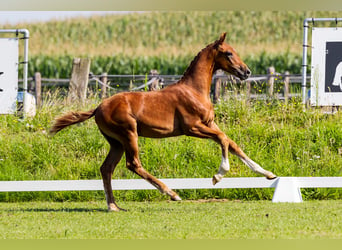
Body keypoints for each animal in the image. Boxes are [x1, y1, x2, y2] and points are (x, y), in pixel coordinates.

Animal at [50, 32, 276, 211]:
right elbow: (222, 139)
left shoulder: (210, 123)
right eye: (228, 53)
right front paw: (218, 176)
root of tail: (98, 107)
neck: (194, 90)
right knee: (133, 164)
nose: (246, 72)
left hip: (116, 142)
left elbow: (232, 144)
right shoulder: (193, 127)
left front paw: (268, 174)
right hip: (129, 134)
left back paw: (113, 206)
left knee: (106, 168)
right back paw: (172, 193)